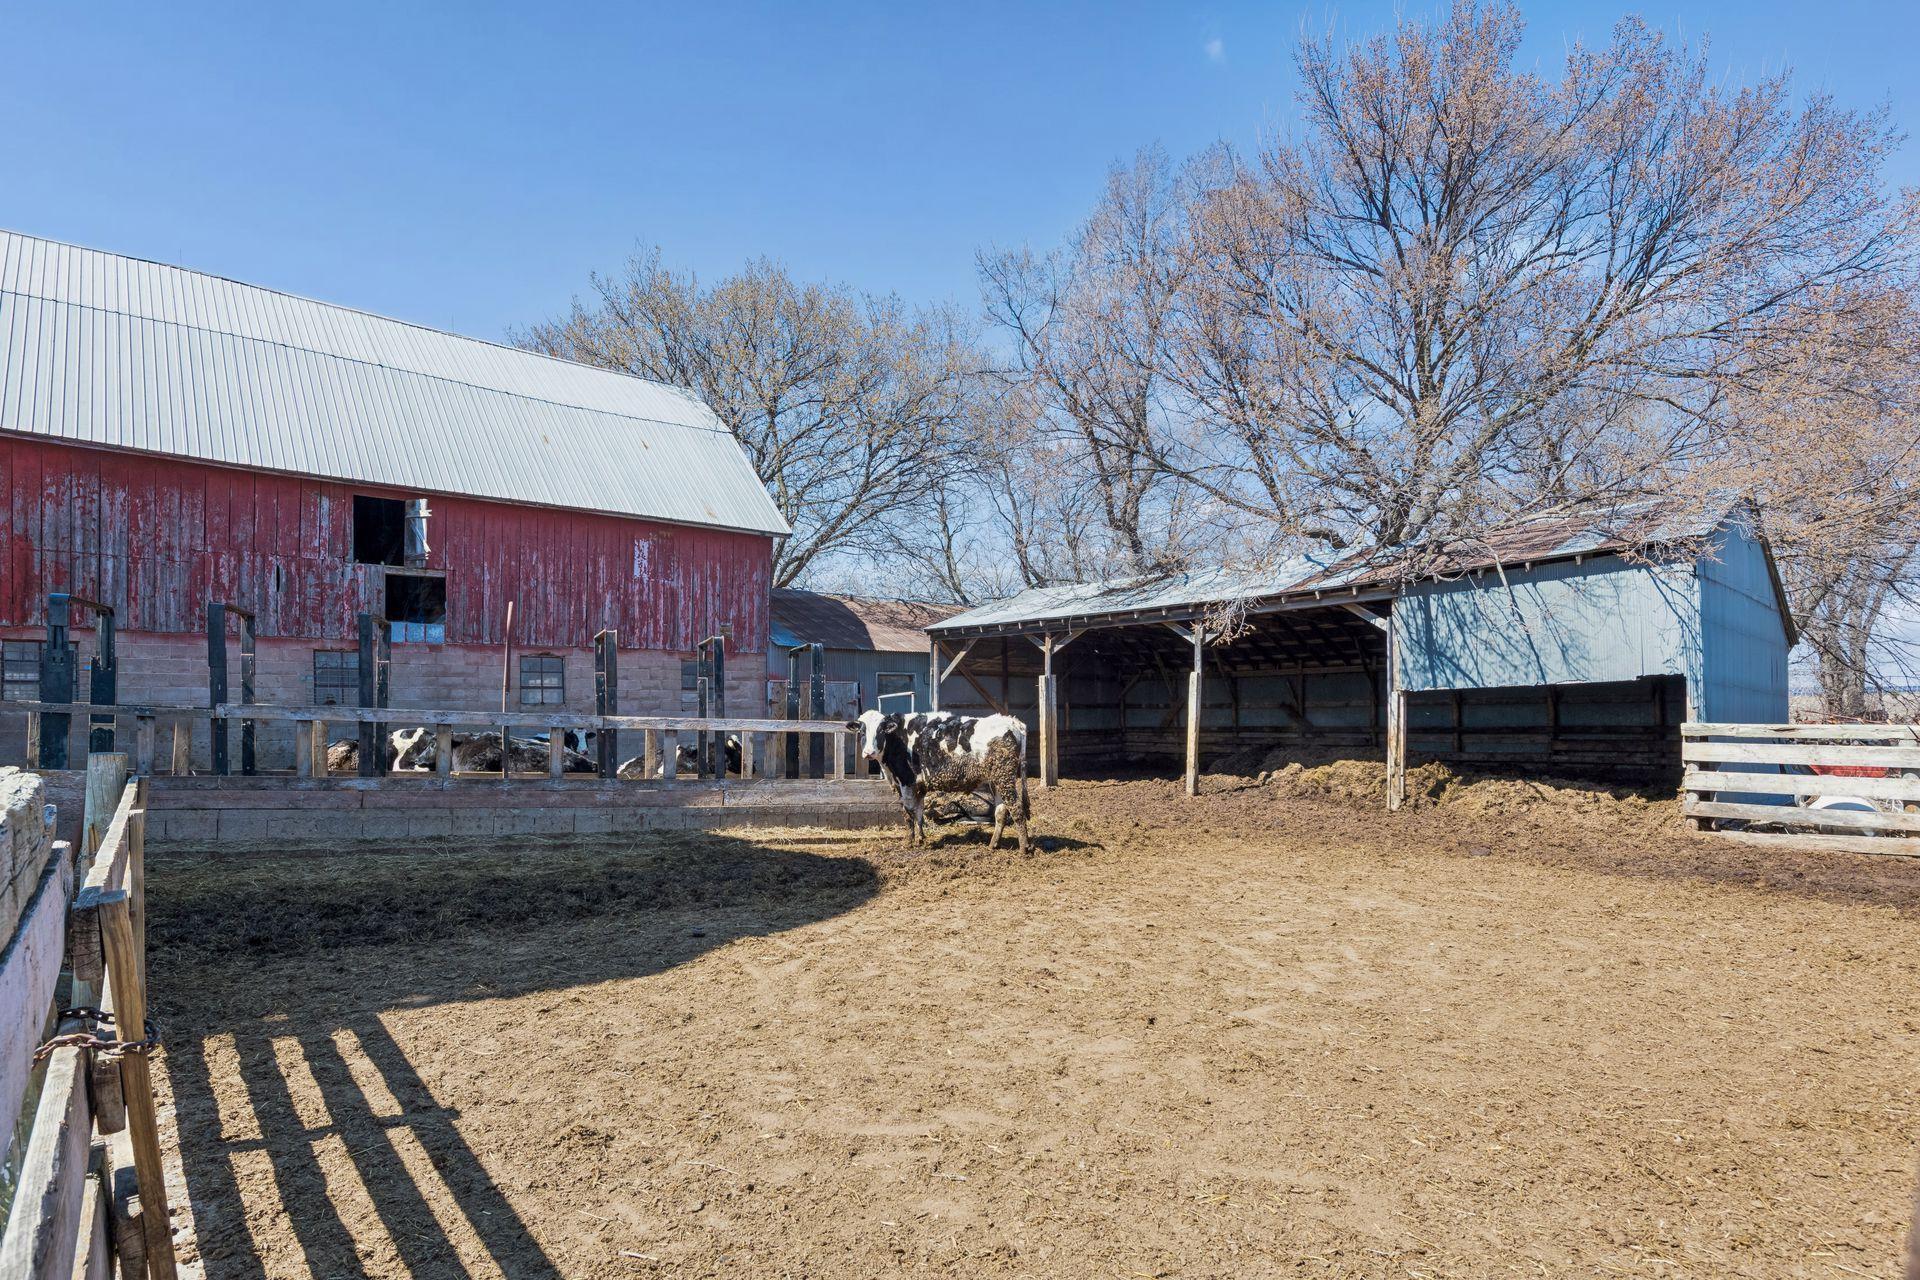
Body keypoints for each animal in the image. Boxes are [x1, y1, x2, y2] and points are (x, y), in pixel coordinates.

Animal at [851, 710, 1030, 853]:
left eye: (881, 730)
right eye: (862, 731)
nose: (869, 752)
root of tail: (1011, 721)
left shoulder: (906, 781)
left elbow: (908, 812)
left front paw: (909, 841)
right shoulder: (920, 786)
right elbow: (919, 812)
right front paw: (921, 839)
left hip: (1004, 777)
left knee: (1016, 809)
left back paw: (1024, 848)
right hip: (997, 782)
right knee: (1001, 812)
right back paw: (993, 845)